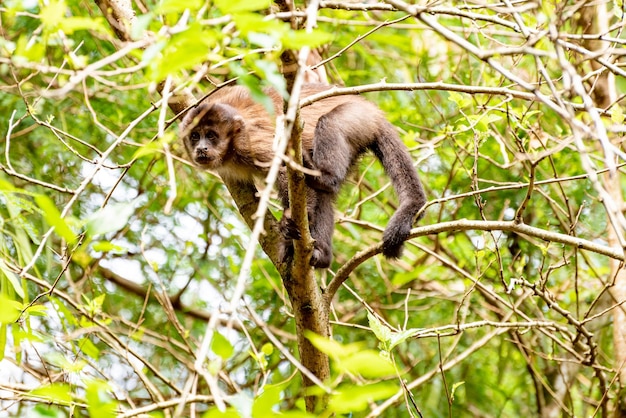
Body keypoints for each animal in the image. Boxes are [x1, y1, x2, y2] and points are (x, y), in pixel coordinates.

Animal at [178, 84, 426, 268]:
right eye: (195, 136)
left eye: (211, 135)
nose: (201, 148)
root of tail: (373, 111)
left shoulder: (250, 141)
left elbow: (283, 169)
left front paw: (291, 228)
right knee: (325, 195)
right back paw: (323, 255)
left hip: (356, 116)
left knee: (329, 125)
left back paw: (324, 176)